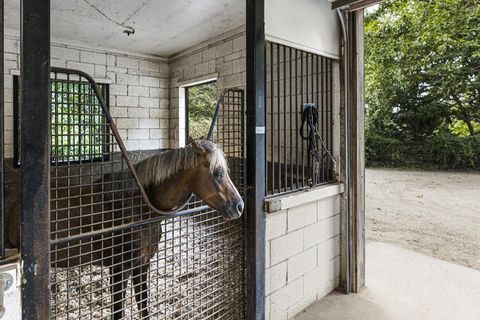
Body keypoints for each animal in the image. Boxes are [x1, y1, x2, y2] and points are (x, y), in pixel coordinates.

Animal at [3, 141, 244, 320]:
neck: (138, 208)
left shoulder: (141, 265)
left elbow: (144, 307)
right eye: (217, 173)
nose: (239, 206)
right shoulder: (119, 269)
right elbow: (118, 312)